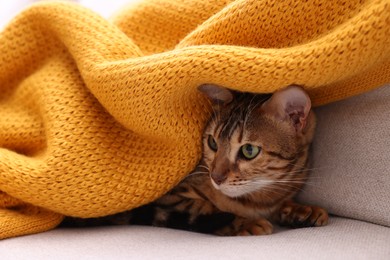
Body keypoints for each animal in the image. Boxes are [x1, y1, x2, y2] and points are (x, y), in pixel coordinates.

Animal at [61, 84, 330, 236]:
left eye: (249, 150)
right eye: (212, 143)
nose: (216, 177)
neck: (259, 200)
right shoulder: (170, 198)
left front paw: (301, 209)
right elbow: (205, 209)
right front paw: (244, 223)